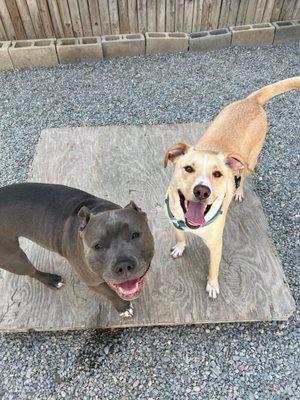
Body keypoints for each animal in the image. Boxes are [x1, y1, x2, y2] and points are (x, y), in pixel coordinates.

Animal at [0, 183, 155, 318]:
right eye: (98, 246)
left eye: (135, 235)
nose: (123, 266)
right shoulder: (93, 282)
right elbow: (111, 295)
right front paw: (123, 308)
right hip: (14, 259)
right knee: (31, 271)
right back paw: (51, 280)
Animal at [164, 76, 300, 298]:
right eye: (188, 168)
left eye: (218, 174)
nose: (202, 191)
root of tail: (251, 101)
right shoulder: (175, 223)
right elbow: (180, 238)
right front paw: (179, 247)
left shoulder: (216, 246)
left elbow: (213, 268)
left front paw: (212, 286)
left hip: (249, 160)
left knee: (242, 177)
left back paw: (238, 192)